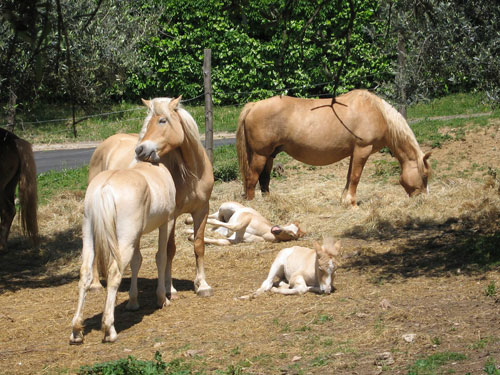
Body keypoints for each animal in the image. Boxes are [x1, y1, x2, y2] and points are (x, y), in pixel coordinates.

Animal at [70, 162, 176, 344]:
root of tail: (105, 187)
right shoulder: (166, 222)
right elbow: (160, 258)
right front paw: (162, 299)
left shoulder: (137, 235)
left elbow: (137, 261)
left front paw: (133, 302)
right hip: (125, 240)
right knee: (114, 273)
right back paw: (109, 330)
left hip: (90, 236)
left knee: (85, 274)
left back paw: (76, 331)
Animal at [88, 98, 213, 298]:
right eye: (147, 124)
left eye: (162, 120)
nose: (140, 150)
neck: (191, 174)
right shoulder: (171, 216)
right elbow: (169, 250)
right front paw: (170, 288)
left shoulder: (202, 210)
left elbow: (199, 245)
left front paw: (202, 285)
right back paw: (94, 284)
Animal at [236, 90, 432, 207]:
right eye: (424, 175)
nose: (422, 198)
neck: (377, 113)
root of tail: (254, 105)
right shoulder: (363, 149)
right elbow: (355, 177)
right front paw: (352, 203)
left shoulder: (354, 152)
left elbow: (349, 177)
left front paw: (345, 200)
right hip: (261, 155)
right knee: (252, 179)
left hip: (270, 155)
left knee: (264, 180)